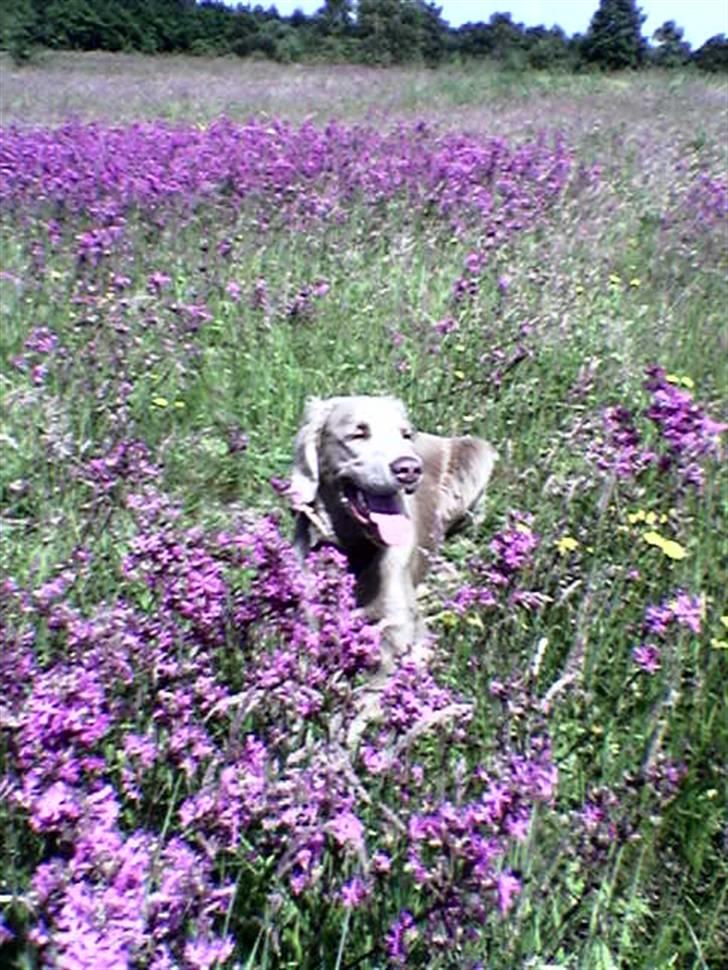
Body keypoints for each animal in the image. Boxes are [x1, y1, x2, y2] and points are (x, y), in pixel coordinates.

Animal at [288, 398, 498, 668]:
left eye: (405, 435)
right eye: (358, 433)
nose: (409, 469)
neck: (357, 548)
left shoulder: (401, 621)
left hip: (476, 453)